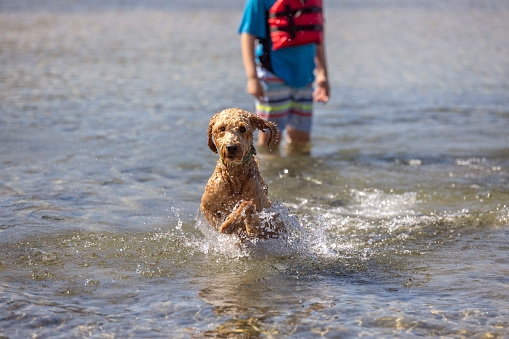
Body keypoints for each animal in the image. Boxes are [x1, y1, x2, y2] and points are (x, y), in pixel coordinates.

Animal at [199, 107, 286, 240]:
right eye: (222, 128)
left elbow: (247, 205)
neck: (234, 176)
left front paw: (231, 223)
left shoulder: (260, 223)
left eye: (243, 129)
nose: (231, 147)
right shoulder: (206, 207)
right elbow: (218, 224)